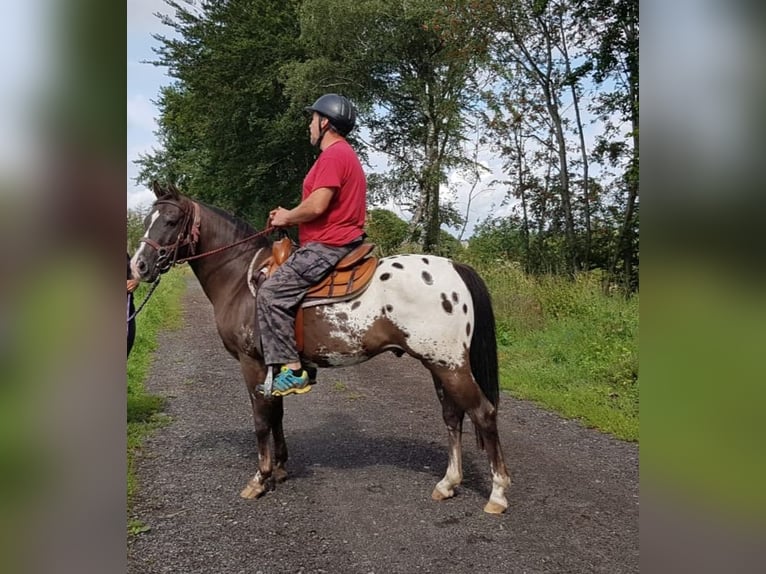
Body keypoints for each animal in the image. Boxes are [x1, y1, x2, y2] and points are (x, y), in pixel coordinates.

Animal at [130, 182, 516, 516]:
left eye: (170, 220)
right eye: (148, 219)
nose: (139, 266)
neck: (240, 278)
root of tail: (456, 267)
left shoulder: (251, 363)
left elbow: (261, 420)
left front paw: (260, 479)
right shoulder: (275, 364)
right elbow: (277, 414)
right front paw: (280, 468)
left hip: (450, 366)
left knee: (484, 413)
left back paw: (497, 494)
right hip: (439, 364)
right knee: (453, 416)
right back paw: (448, 483)